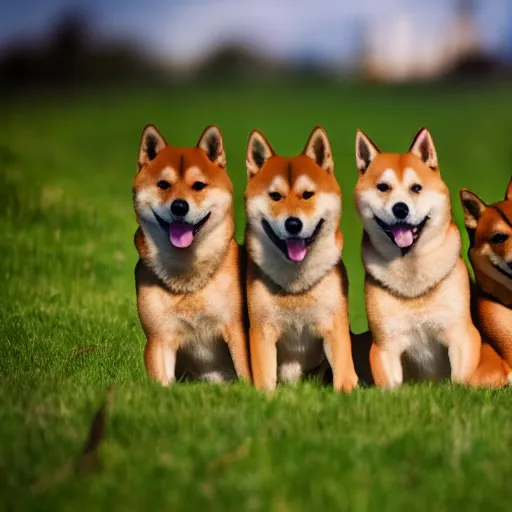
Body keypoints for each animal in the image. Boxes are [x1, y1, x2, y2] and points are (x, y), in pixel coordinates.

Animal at [245, 126, 358, 390]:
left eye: (307, 195)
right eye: (275, 196)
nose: (293, 224)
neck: (296, 285)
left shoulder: (335, 327)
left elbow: (344, 375)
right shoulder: (262, 331)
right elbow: (265, 382)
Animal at [354, 128, 482, 388]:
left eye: (416, 188)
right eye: (383, 187)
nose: (400, 209)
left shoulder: (461, 336)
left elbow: (460, 381)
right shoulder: (385, 346)